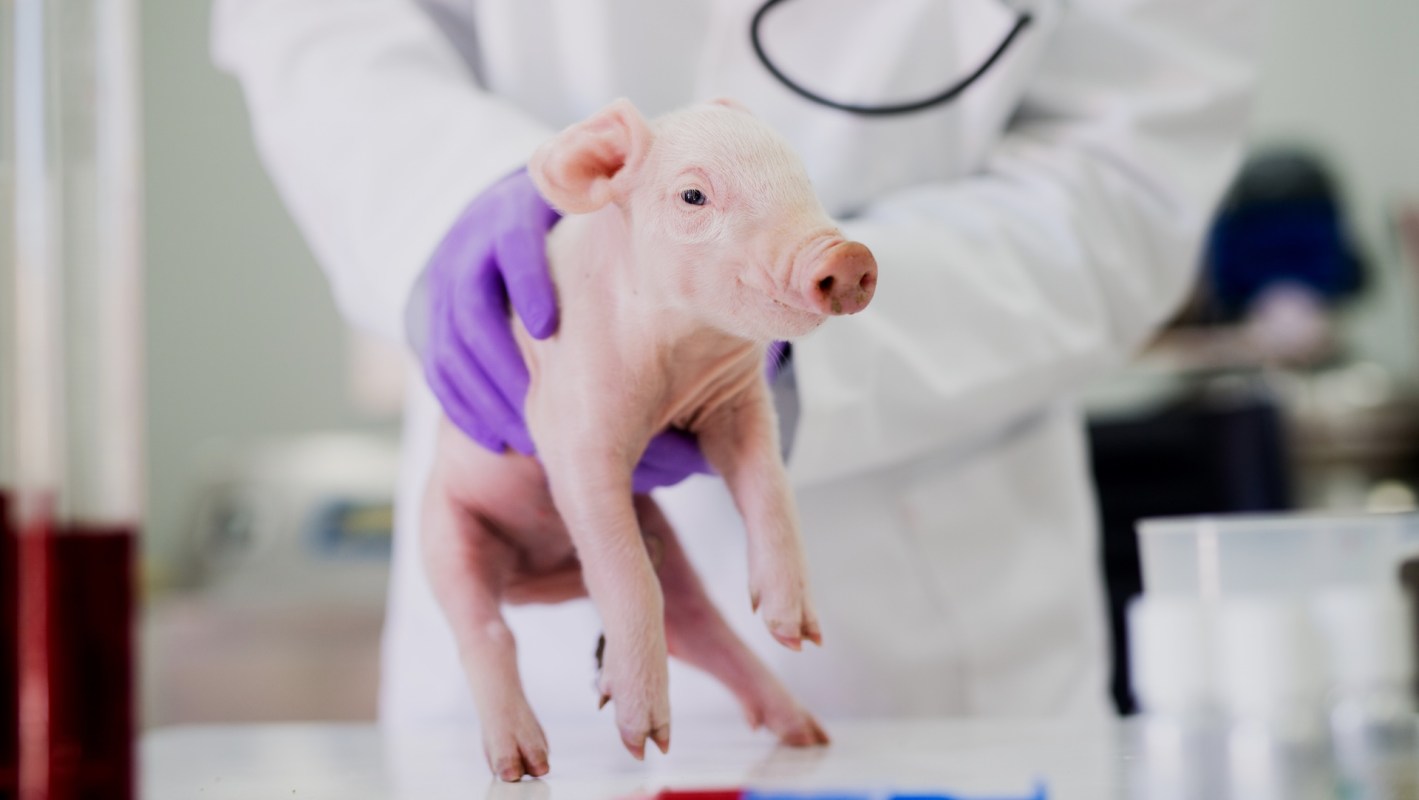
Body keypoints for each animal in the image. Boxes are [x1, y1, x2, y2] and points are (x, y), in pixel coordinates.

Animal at [420, 97, 878, 782]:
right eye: (693, 195)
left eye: (802, 179)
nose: (847, 256)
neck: (679, 361)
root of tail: (540, 578)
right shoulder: (573, 432)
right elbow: (627, 570)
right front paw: (633, 739)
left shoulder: (739, 405)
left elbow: (771, 490)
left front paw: (798, 629)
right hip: (444, 532)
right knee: (486, 628)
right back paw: (529, 766)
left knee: (702, 624)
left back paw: (805, 733)